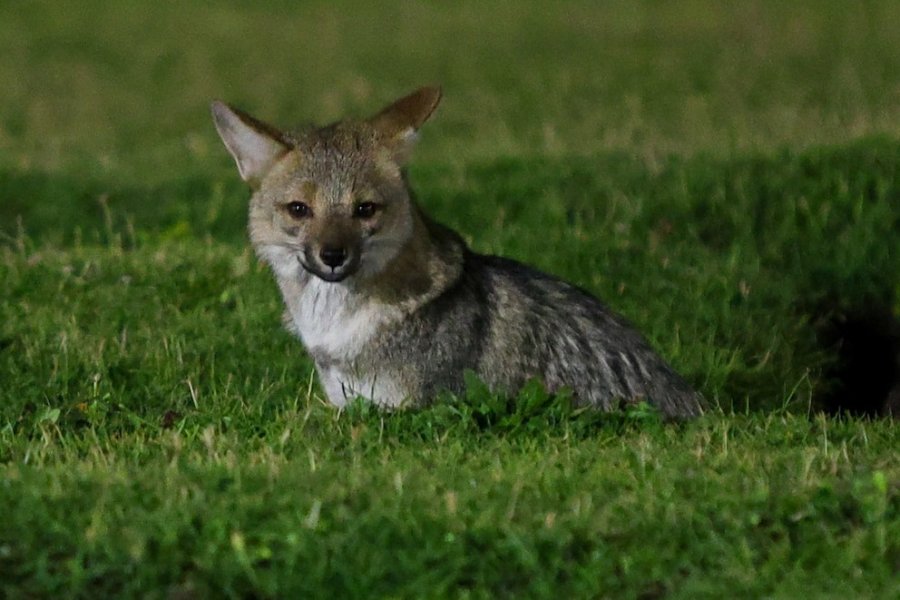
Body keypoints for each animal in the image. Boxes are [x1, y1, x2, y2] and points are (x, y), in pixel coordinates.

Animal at [211, 86, 703, 418]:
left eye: (364, 209)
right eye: (300, 209)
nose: (333, 255)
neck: (337, 331)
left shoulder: (410, 409)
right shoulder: (346, 403)